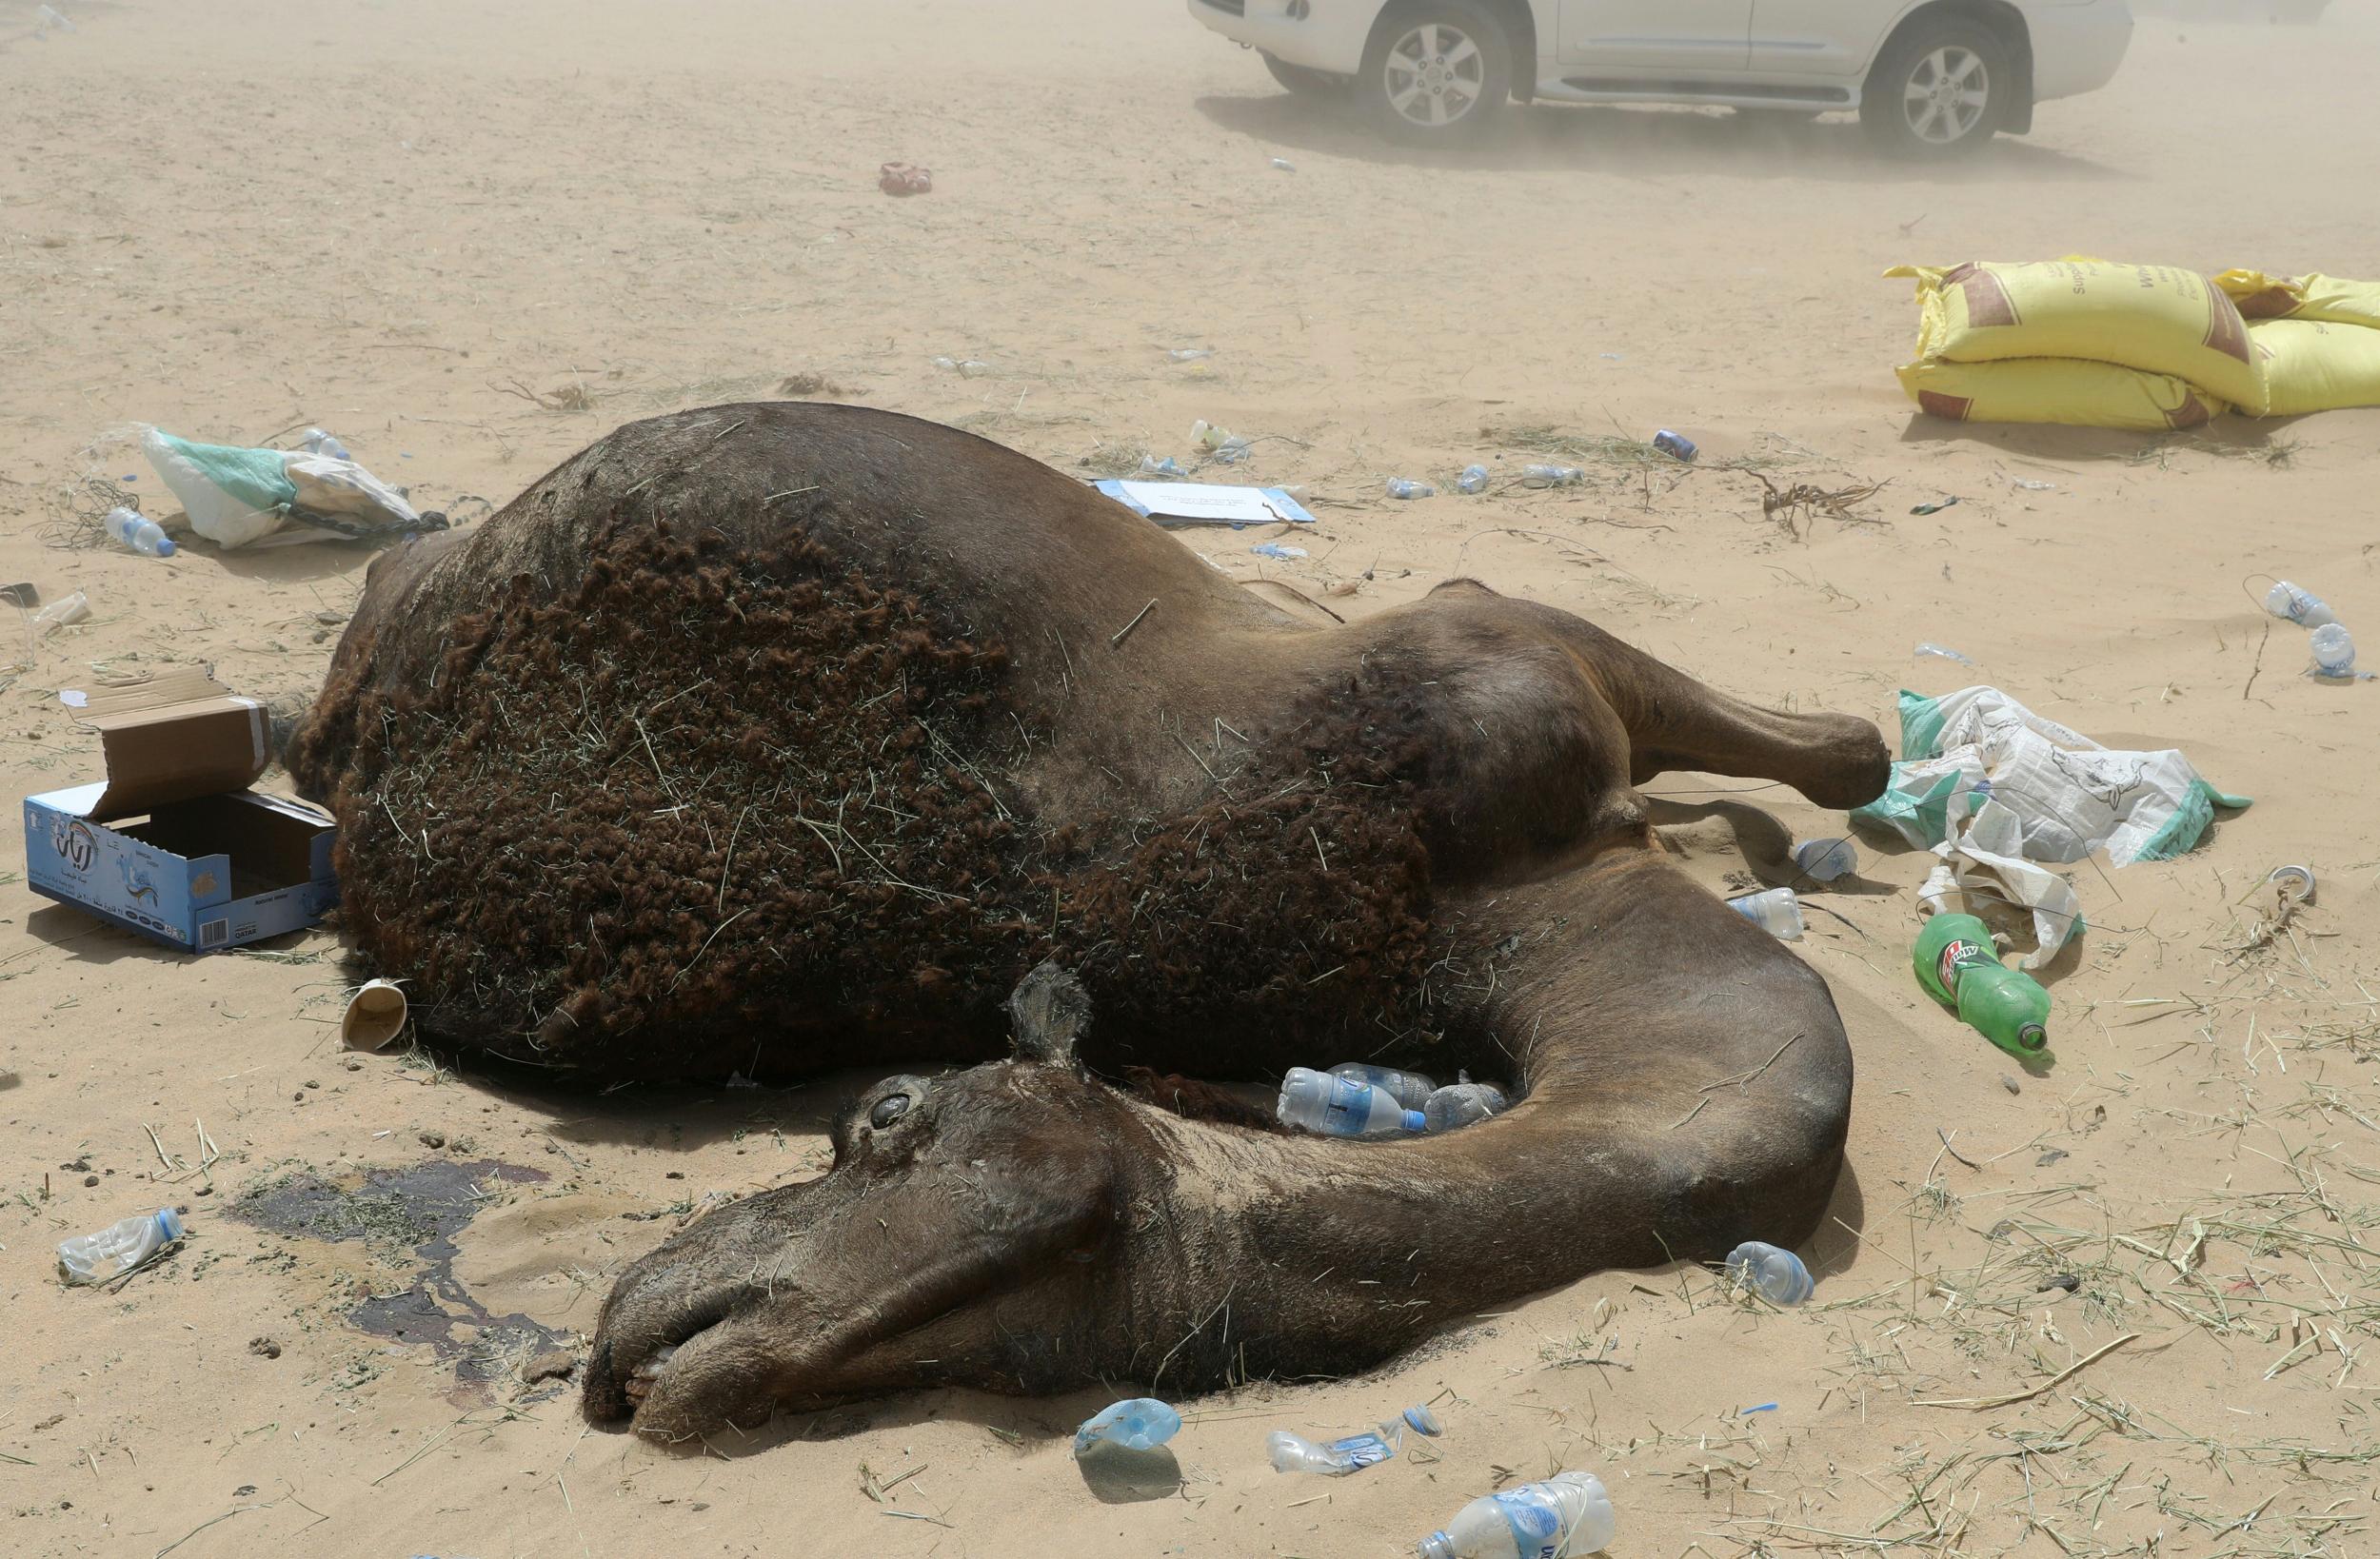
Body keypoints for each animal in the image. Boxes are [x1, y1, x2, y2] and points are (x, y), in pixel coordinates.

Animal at [278, 402, 1885, 1437]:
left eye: (885, 1114)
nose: (665, 1344)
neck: (1514, 905)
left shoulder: (1515, 675)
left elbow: (1841, 747)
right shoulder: (1502, 644)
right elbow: (1851, 742)